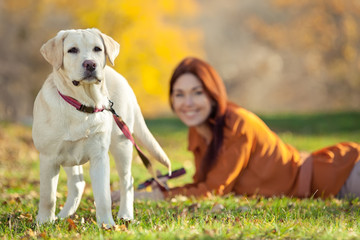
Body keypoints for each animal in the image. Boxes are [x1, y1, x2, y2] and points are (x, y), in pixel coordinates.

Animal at [31, 29, 171, 226]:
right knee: (78, 184)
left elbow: (104, 196)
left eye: (97, 49)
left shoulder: (99, 157)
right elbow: (48, 196)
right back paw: (63, 216)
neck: (82, 105)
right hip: (68, 155)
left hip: (122, 144)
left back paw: (126, 214)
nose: (90, 64)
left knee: (127, 180)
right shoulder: (49, 157)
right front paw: (44, 222)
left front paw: (106, 225)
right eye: (72, 50)